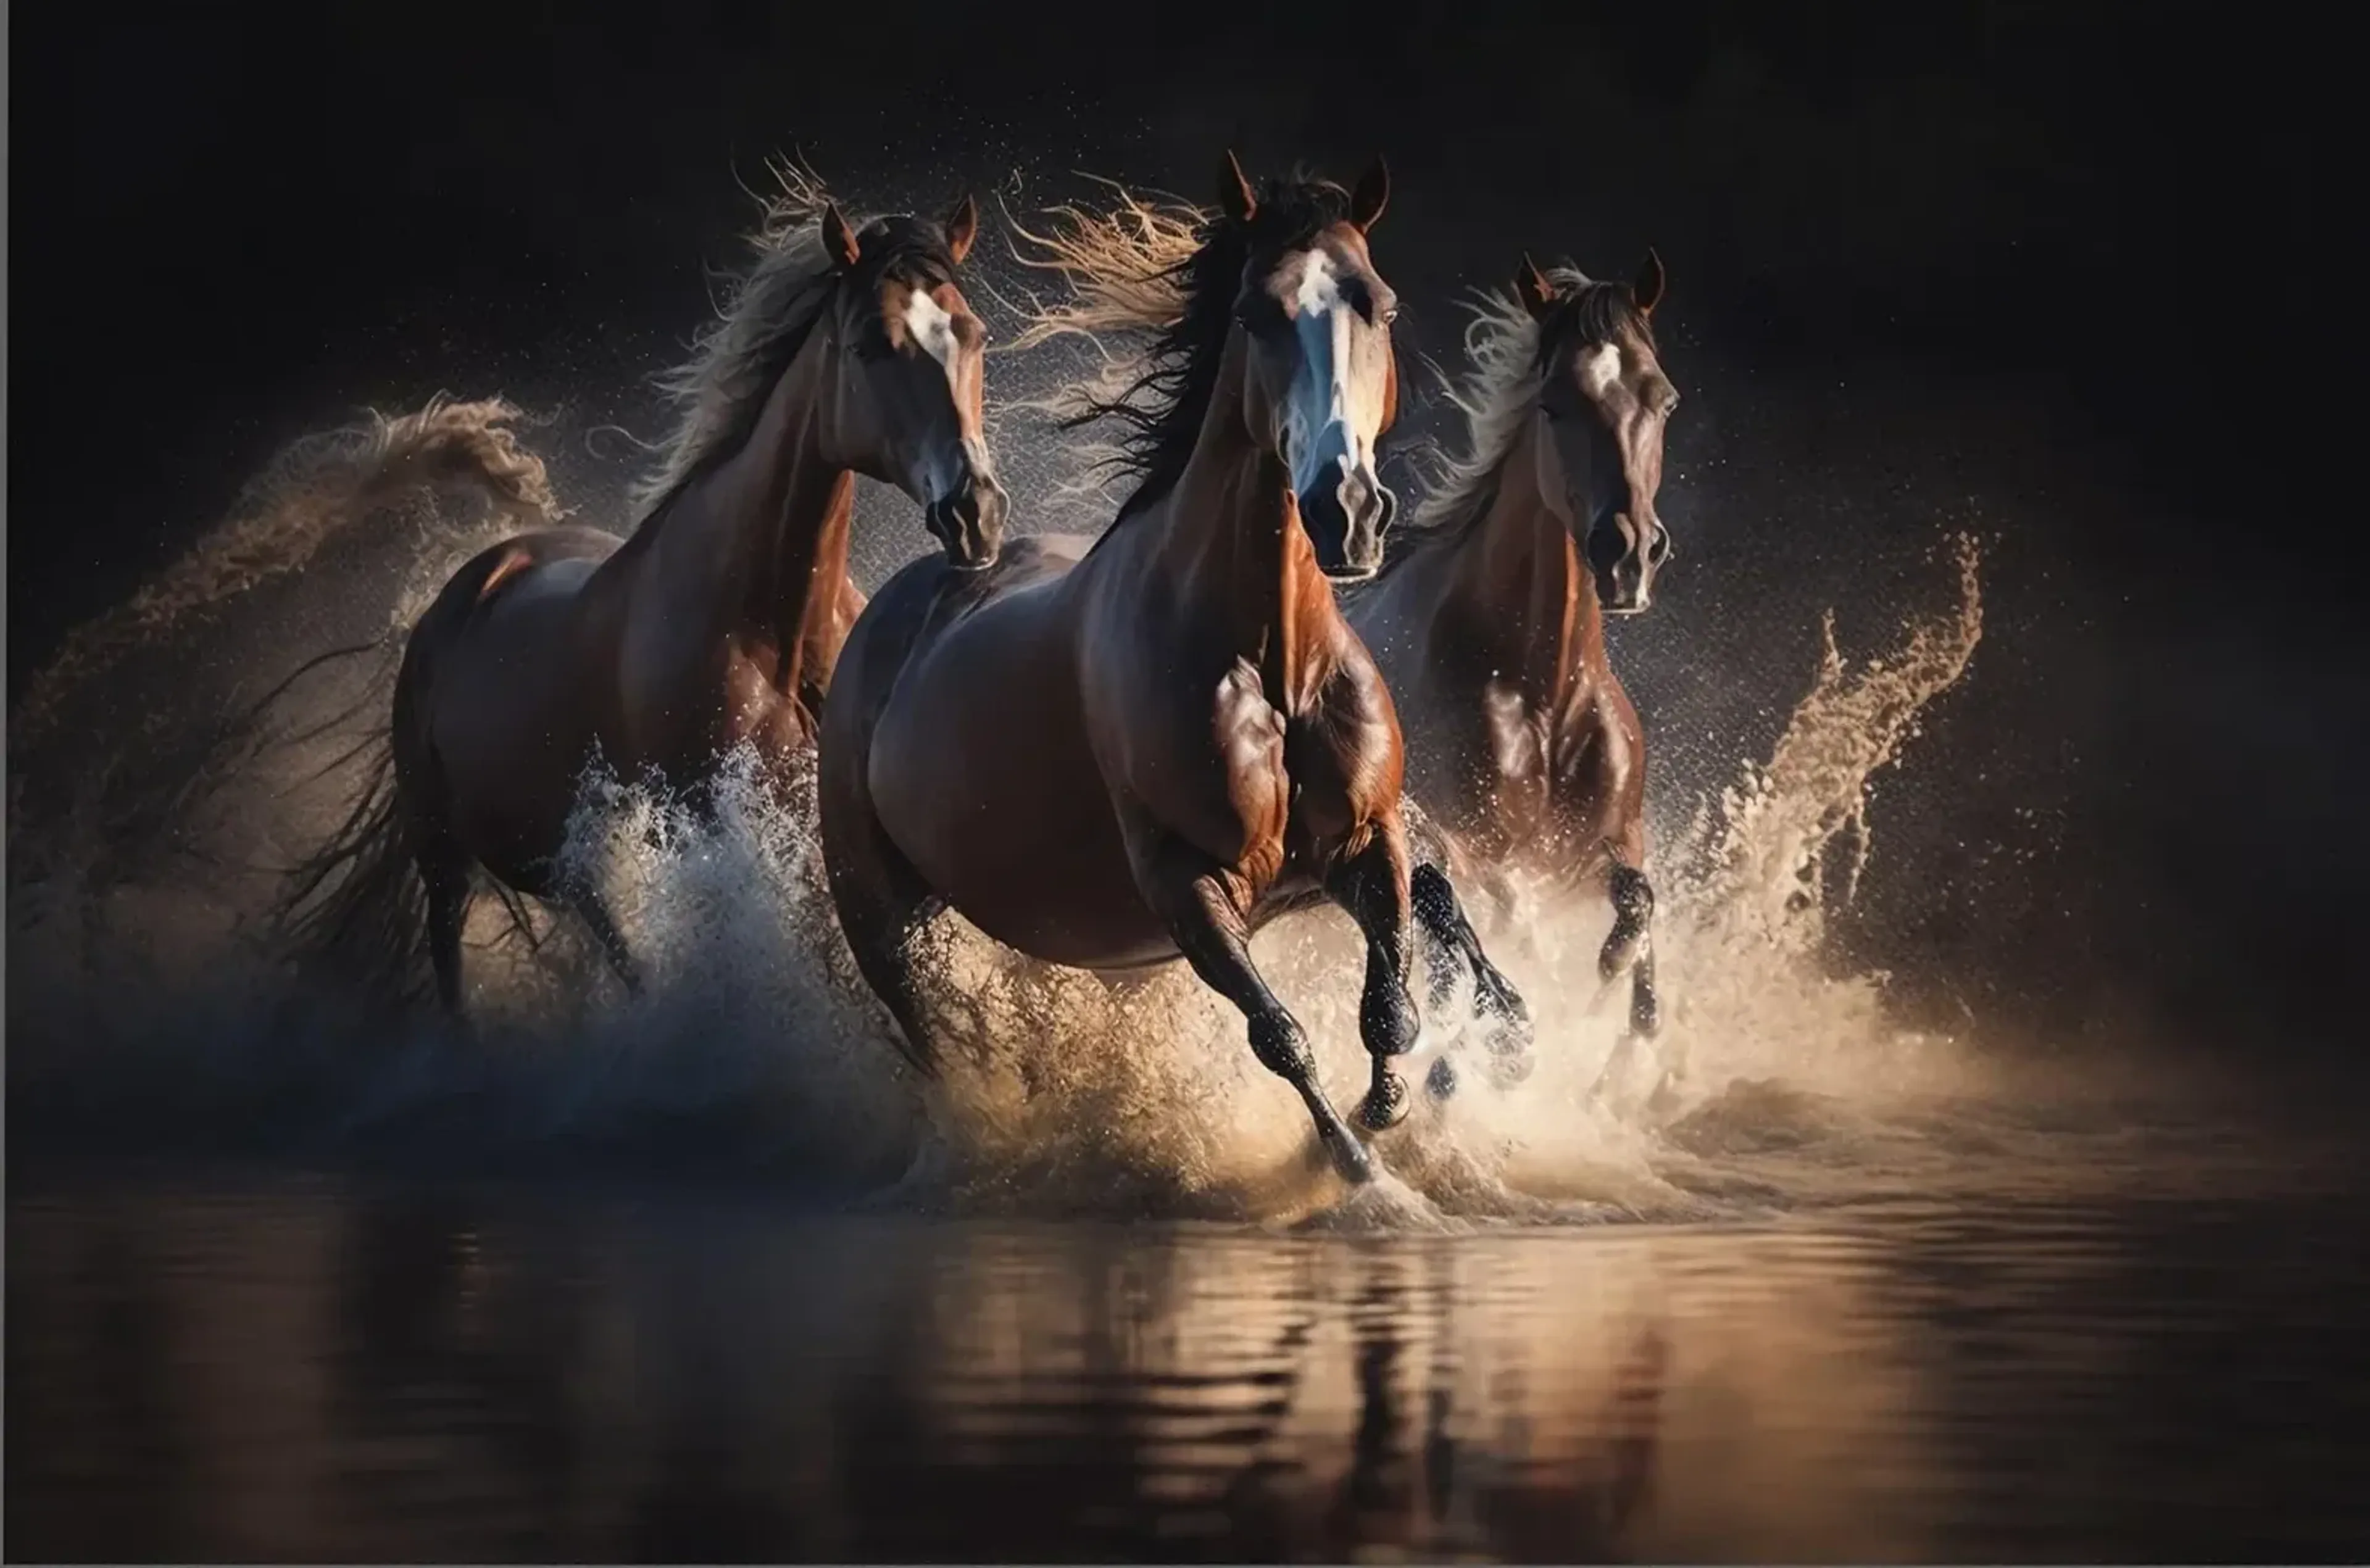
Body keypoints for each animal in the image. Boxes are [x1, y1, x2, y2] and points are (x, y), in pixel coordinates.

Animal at [279, 162, 1008, 1018]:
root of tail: (463, 590)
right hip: (445, 864)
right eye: (869, 345)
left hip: (573, 872)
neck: (770, 624)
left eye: (975, 334)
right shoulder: (720, 836)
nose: (975, 513)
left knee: (615, 943)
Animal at [817, 155, 1527, 1187]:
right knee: (942, 1045)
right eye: (1256, 312)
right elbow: (1282, 1036)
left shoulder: (1360, 844)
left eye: (1381, 305)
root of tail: (885, 614)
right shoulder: (1185, 883)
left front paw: (1399, 1104)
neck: (1271, 663)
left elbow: (1388, 1003)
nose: (1345, 509)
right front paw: (1353, 1165)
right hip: (886, 925)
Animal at [1339, 251, 1681, 1100]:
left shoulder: (1613, 840)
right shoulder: (1458, 844)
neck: (1543, 695)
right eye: (1557, 405)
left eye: (1663, 398)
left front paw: (1622, 1030)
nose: (1629, 554)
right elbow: (1479, 926)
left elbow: (1638, 908)